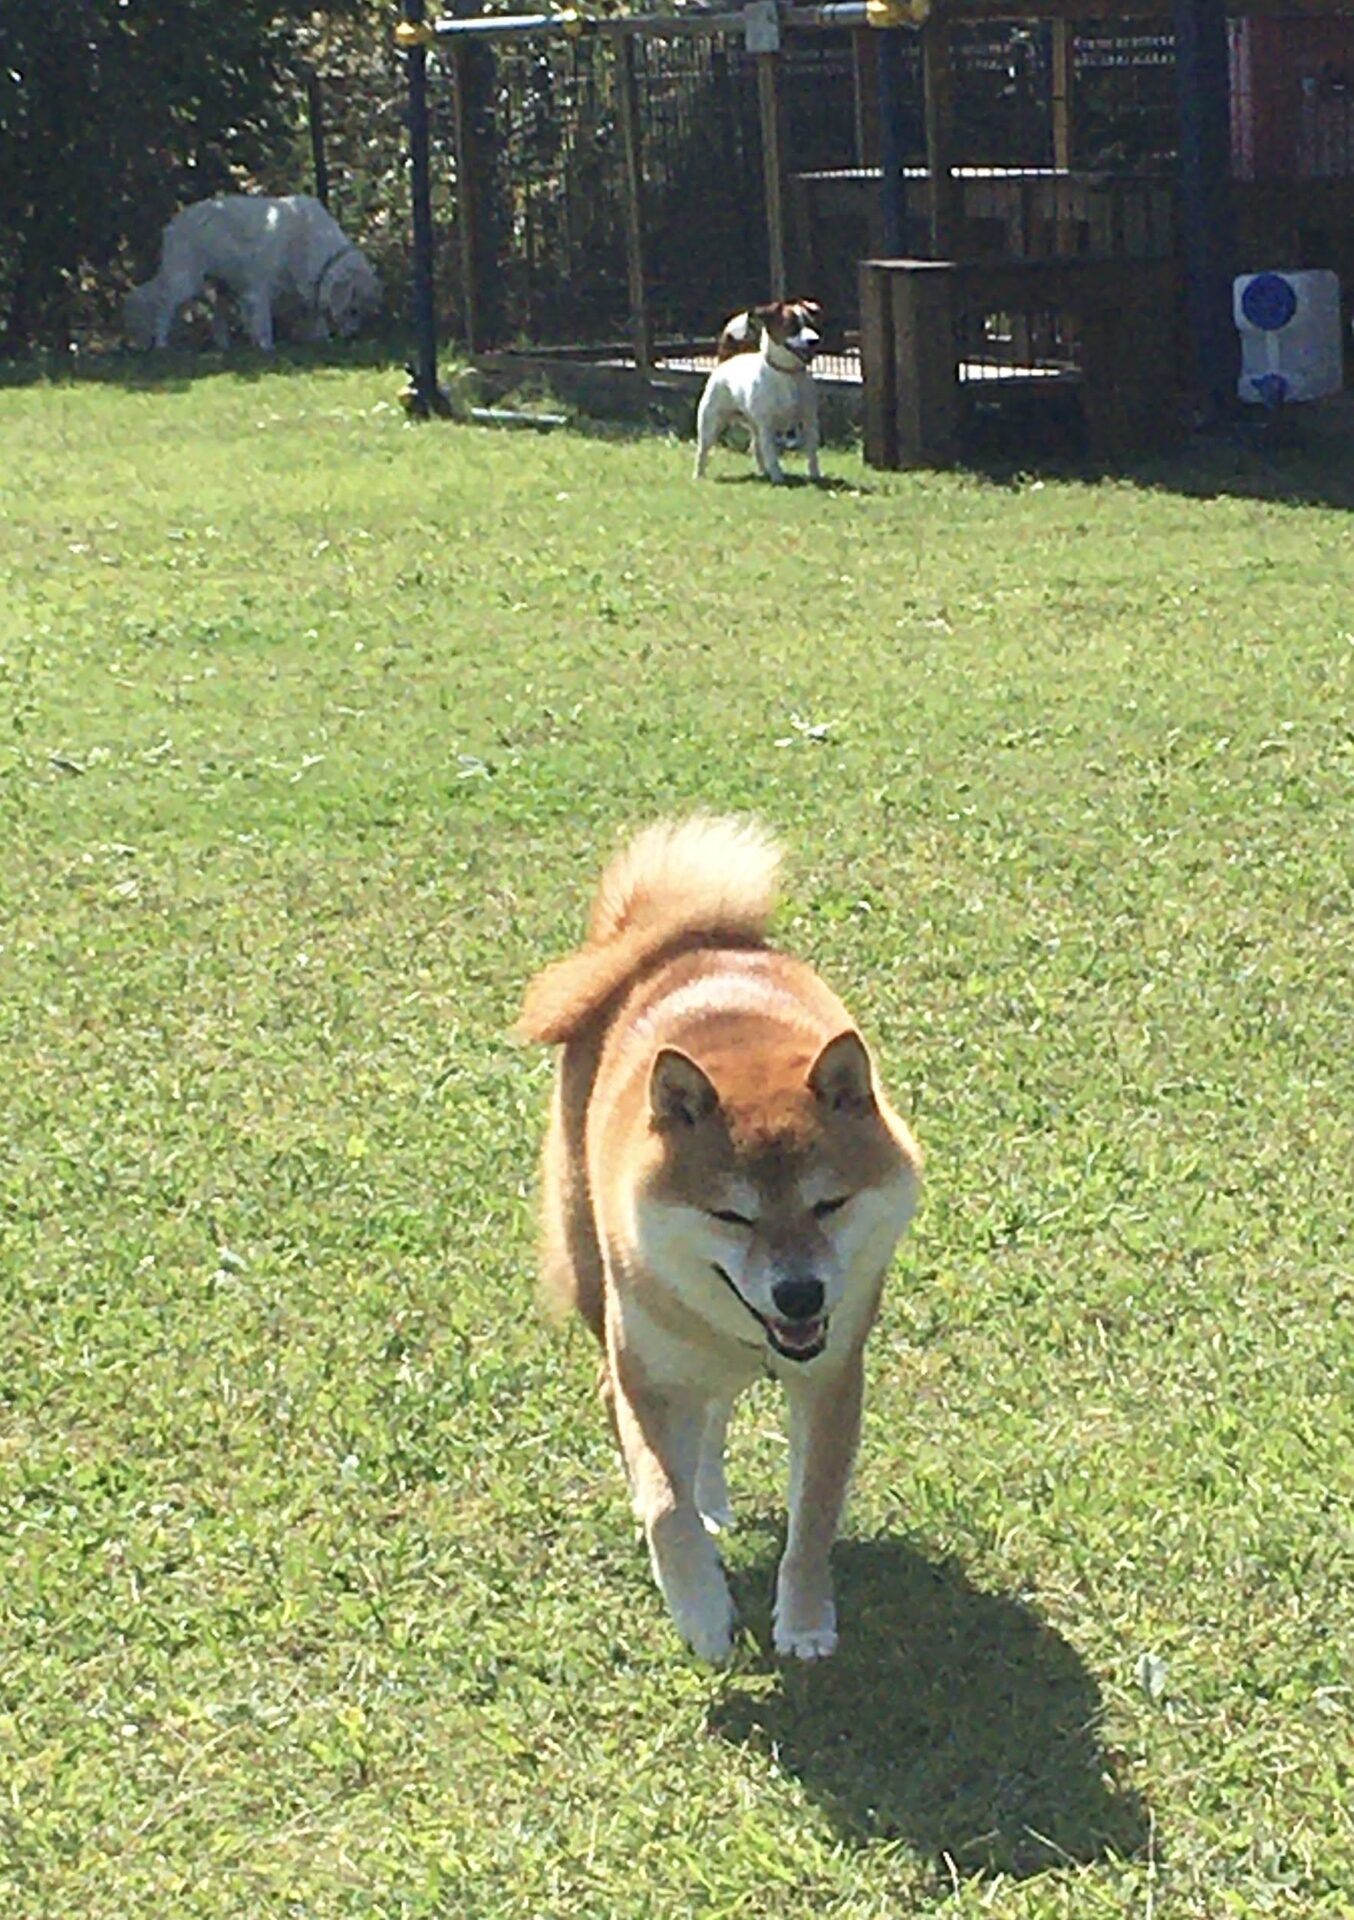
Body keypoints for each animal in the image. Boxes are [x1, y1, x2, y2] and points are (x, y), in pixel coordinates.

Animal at [123, 193, 380, 351]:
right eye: (353, 310)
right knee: (164, 308)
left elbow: (314, 313)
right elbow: (264, 321)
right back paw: (161, 344)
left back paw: (224, 346)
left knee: (218, 317)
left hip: (221, 286)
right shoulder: (259, 289)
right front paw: (267, 348)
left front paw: (322, 339)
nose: (353, 337)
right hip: (186, 282)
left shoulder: (308, 285)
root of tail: (172, 224)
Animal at [515, 816, 922, 1664]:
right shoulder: (640, 1375)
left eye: (829, 1204)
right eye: (732, 1216)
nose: (798, 1293)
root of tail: (670, 937)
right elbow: (662, 1505)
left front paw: (804, 1620)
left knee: (714, 1415)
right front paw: (701, 1611)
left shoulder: (832, 1380)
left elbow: (813, 1518)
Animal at [695, 300, 822, 484]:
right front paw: (778, 477)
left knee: (755, 446)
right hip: (710, 423)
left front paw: (815, 476)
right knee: (703, 450)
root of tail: (725, 362)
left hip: (754, 425)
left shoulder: (809, 421)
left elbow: (812, 453)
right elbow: (771, 454)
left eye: (812, 324)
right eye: (792, 326)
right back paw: (699, 475)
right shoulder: (767, 426)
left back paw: (763, 472)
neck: (787, 373)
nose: (815, 340)